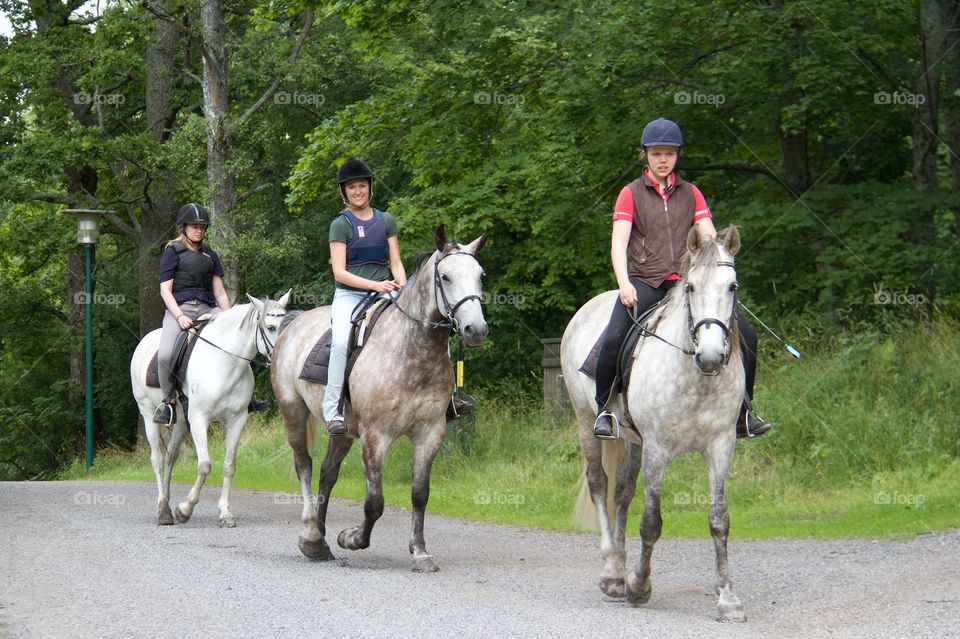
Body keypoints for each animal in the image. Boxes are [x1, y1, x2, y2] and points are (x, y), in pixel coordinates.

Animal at [270, 228, 488, 572]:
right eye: (446, 277)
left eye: (480, 275)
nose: (476, 329)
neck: (411, 353)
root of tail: (294, 325)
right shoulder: (376, 436)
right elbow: (375, 501)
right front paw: (352, 538)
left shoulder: (430, 433)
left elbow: (419, 493)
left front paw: (420, 552)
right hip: (293, 413)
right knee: (304, 465)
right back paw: (310, 535)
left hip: (343, 430)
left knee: (327, 472)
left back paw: (320, 539)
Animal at [564, 228, 752, 624]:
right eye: (691, 287)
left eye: (732, 286)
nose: (711, 356)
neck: (696, 378)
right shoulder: (658, 448)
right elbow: (651, 520)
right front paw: (639, 586)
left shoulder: (721, 445)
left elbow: (719, 520)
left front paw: (728, 599)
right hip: (587, 422)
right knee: (600, 485)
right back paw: (612, 572)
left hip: (633, 440)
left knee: (621, 491)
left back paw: (619, 572)